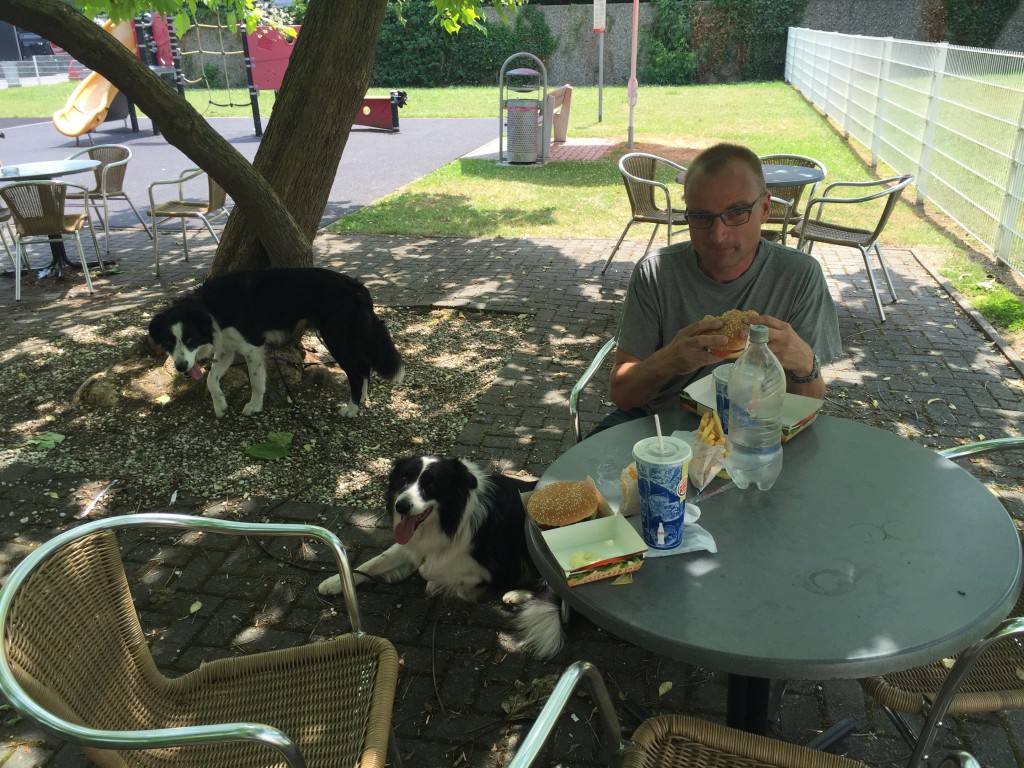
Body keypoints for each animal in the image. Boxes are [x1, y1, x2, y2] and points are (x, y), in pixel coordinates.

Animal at [148, 266, 403, 421]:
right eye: (169, 341)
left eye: (189, 339)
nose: (181, 368)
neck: (210, 307)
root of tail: (357, 287)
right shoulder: (227, 348)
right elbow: (211, 379)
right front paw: (220, 404)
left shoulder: (252, 347)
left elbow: (255, 381)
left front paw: (254, 406)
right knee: (364, 367)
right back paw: (362, 398)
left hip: (336, 339)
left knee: (357, 372)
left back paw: (352, 407)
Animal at [317, 454, 565, 659]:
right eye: (404, 480)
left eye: (431, 485)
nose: (401, 506)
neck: (451, 517)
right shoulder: (413, 544)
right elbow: (375, 561)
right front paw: (334, 582)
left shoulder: (488, 566)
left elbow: (429, 569)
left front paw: (445, 585)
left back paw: (517, 593)